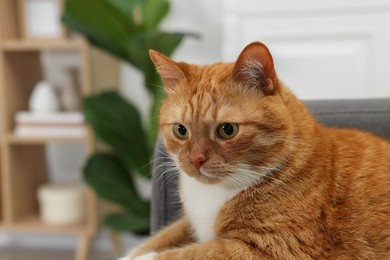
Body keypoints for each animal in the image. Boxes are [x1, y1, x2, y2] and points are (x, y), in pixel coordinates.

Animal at [123, 41, 390, 258]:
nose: (195, 159)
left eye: (227, 130)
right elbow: (155, 240)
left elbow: (185, 253)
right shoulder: (188, 223)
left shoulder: (278, 246)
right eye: (181, 130)